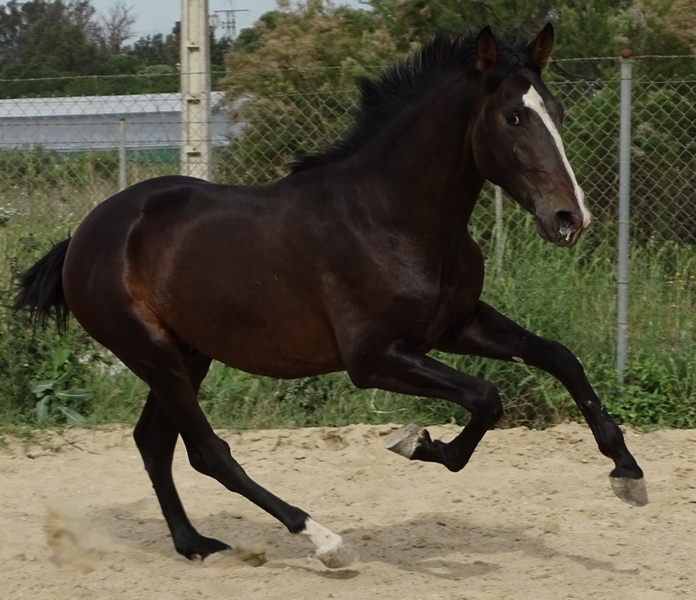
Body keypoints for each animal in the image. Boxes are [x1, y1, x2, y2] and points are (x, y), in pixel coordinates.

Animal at [13, 24, 647, 569]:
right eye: (514, 116)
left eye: (557, 113)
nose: (570, 218)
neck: (392, 217)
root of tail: (83, 236)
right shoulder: (372, 359)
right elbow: (486, 397)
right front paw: (417, 443)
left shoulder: (456, 325)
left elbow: (558, 357)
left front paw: (628, 473)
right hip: (152, 354)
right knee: (207, 450)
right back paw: (323, 540)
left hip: (188, 354)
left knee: (154, 442)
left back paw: (195, 545)